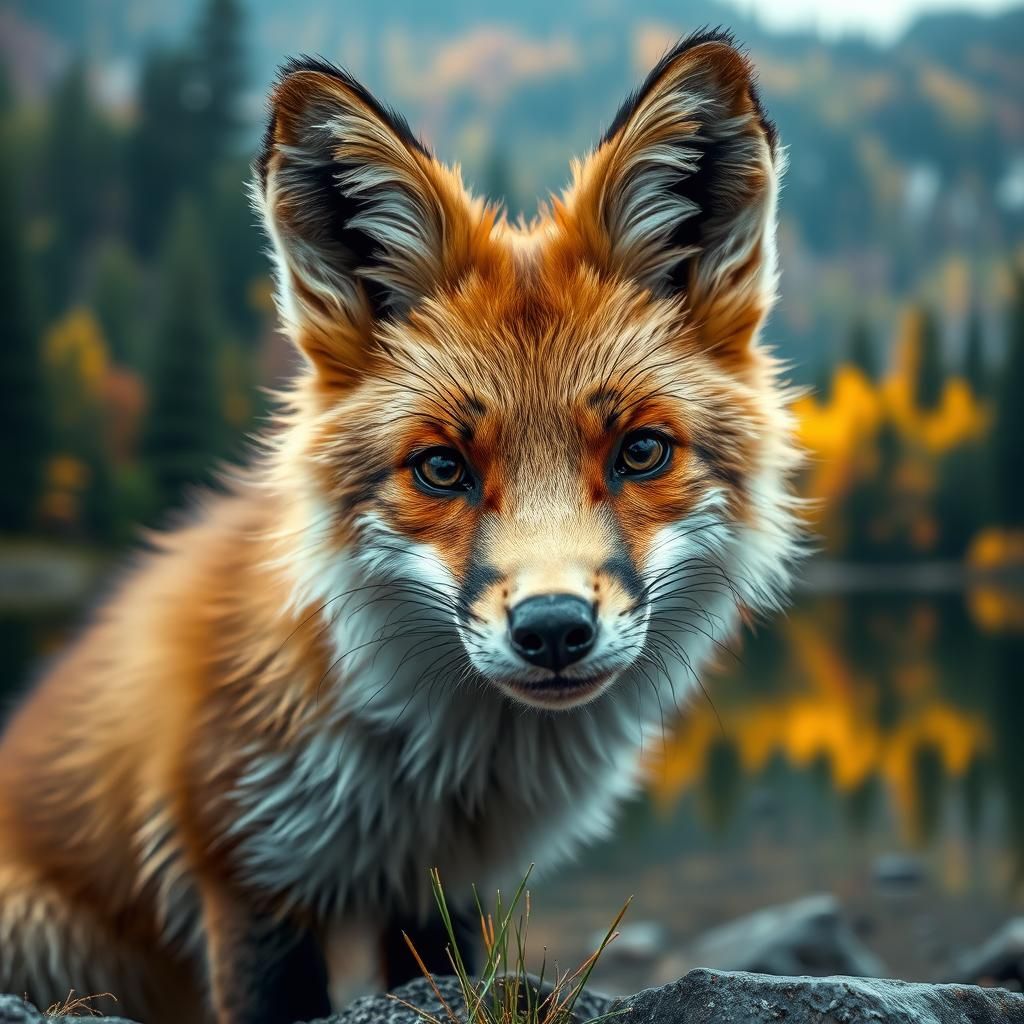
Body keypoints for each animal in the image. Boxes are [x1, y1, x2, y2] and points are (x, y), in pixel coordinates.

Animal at [0, 29, 800, 1024]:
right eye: (442, 468)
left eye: (641, 453)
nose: (552, 631)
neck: (434, 788)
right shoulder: (247, 869)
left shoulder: (439, 894)